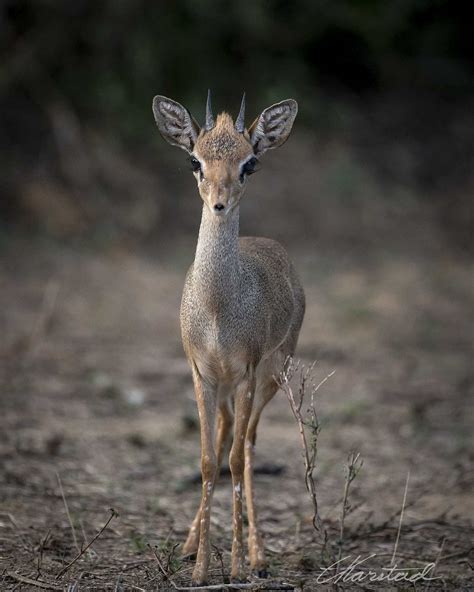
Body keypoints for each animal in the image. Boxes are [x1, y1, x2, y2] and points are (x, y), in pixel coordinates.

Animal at [154, 91, 306, 584]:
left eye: (250, 162)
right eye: (195, 161)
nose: (219, 203)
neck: (219, 311)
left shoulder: (245, 373)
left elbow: (238, 459)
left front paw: (237, 566)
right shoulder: (201, 372)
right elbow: (207, 459)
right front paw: (201, 569)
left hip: (274, 375)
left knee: (250, 441)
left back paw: (258, 557)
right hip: (222, 388)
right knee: (224, 436)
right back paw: (188, 546)